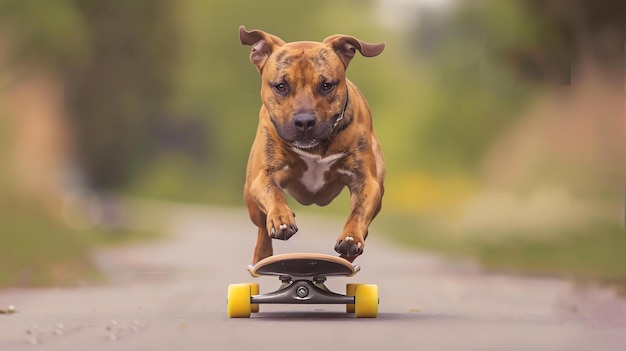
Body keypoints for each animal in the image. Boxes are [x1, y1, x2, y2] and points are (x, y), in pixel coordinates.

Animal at [239, 26, 386, 264]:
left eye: (326, 85)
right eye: (281, 86)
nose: (305, 122)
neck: (317, 148)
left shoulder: (367, 182)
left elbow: (359, 212)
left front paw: (351, 237)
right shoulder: (263, 175)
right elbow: (274, 193)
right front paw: (281, 218)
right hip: (251, 201)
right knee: (262, 230)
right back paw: (263, 254)